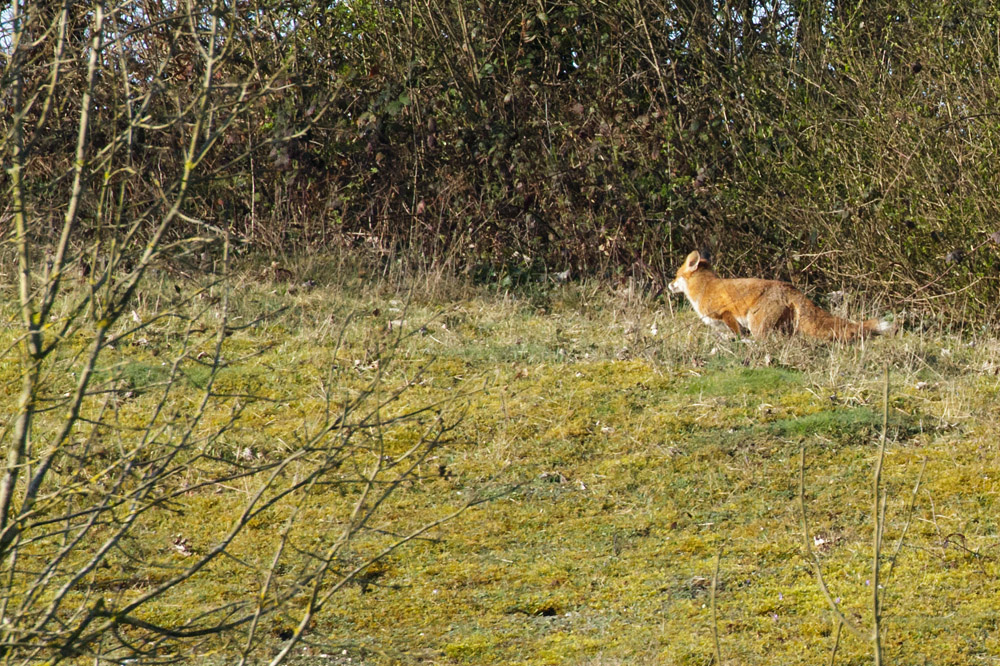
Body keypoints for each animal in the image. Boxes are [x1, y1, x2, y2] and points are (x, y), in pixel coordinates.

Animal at [668, 250, 893, 342]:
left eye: (676, 275)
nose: (669, 286)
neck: (704, 288)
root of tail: (788, 287)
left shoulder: (727, 313)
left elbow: (738, 334)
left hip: (757, 323)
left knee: (764, 342)